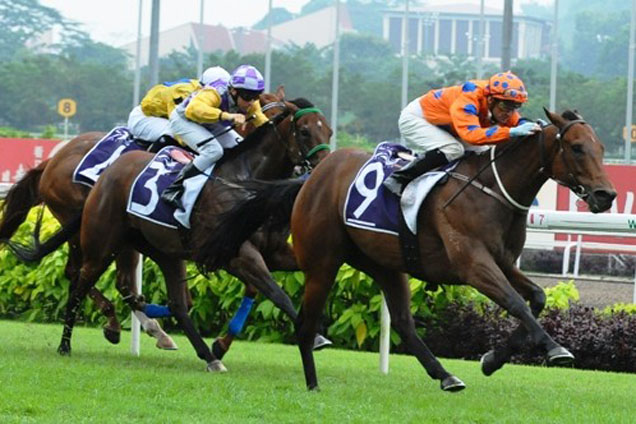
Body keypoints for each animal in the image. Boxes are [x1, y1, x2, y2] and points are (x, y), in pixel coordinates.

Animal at [202, 109, 616, 390]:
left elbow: (536, 298)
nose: (606, 195)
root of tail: (312, 176)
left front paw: (491, 360)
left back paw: (446, 376)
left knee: (402, 321)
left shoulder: (502, 261)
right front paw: (555, 348)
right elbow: (516, 303)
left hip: (385, 264)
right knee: (306, 322)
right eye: (577, 148)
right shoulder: (473, 265)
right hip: (322, 262)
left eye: (601, 147)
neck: (492, 191)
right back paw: (312, 382)